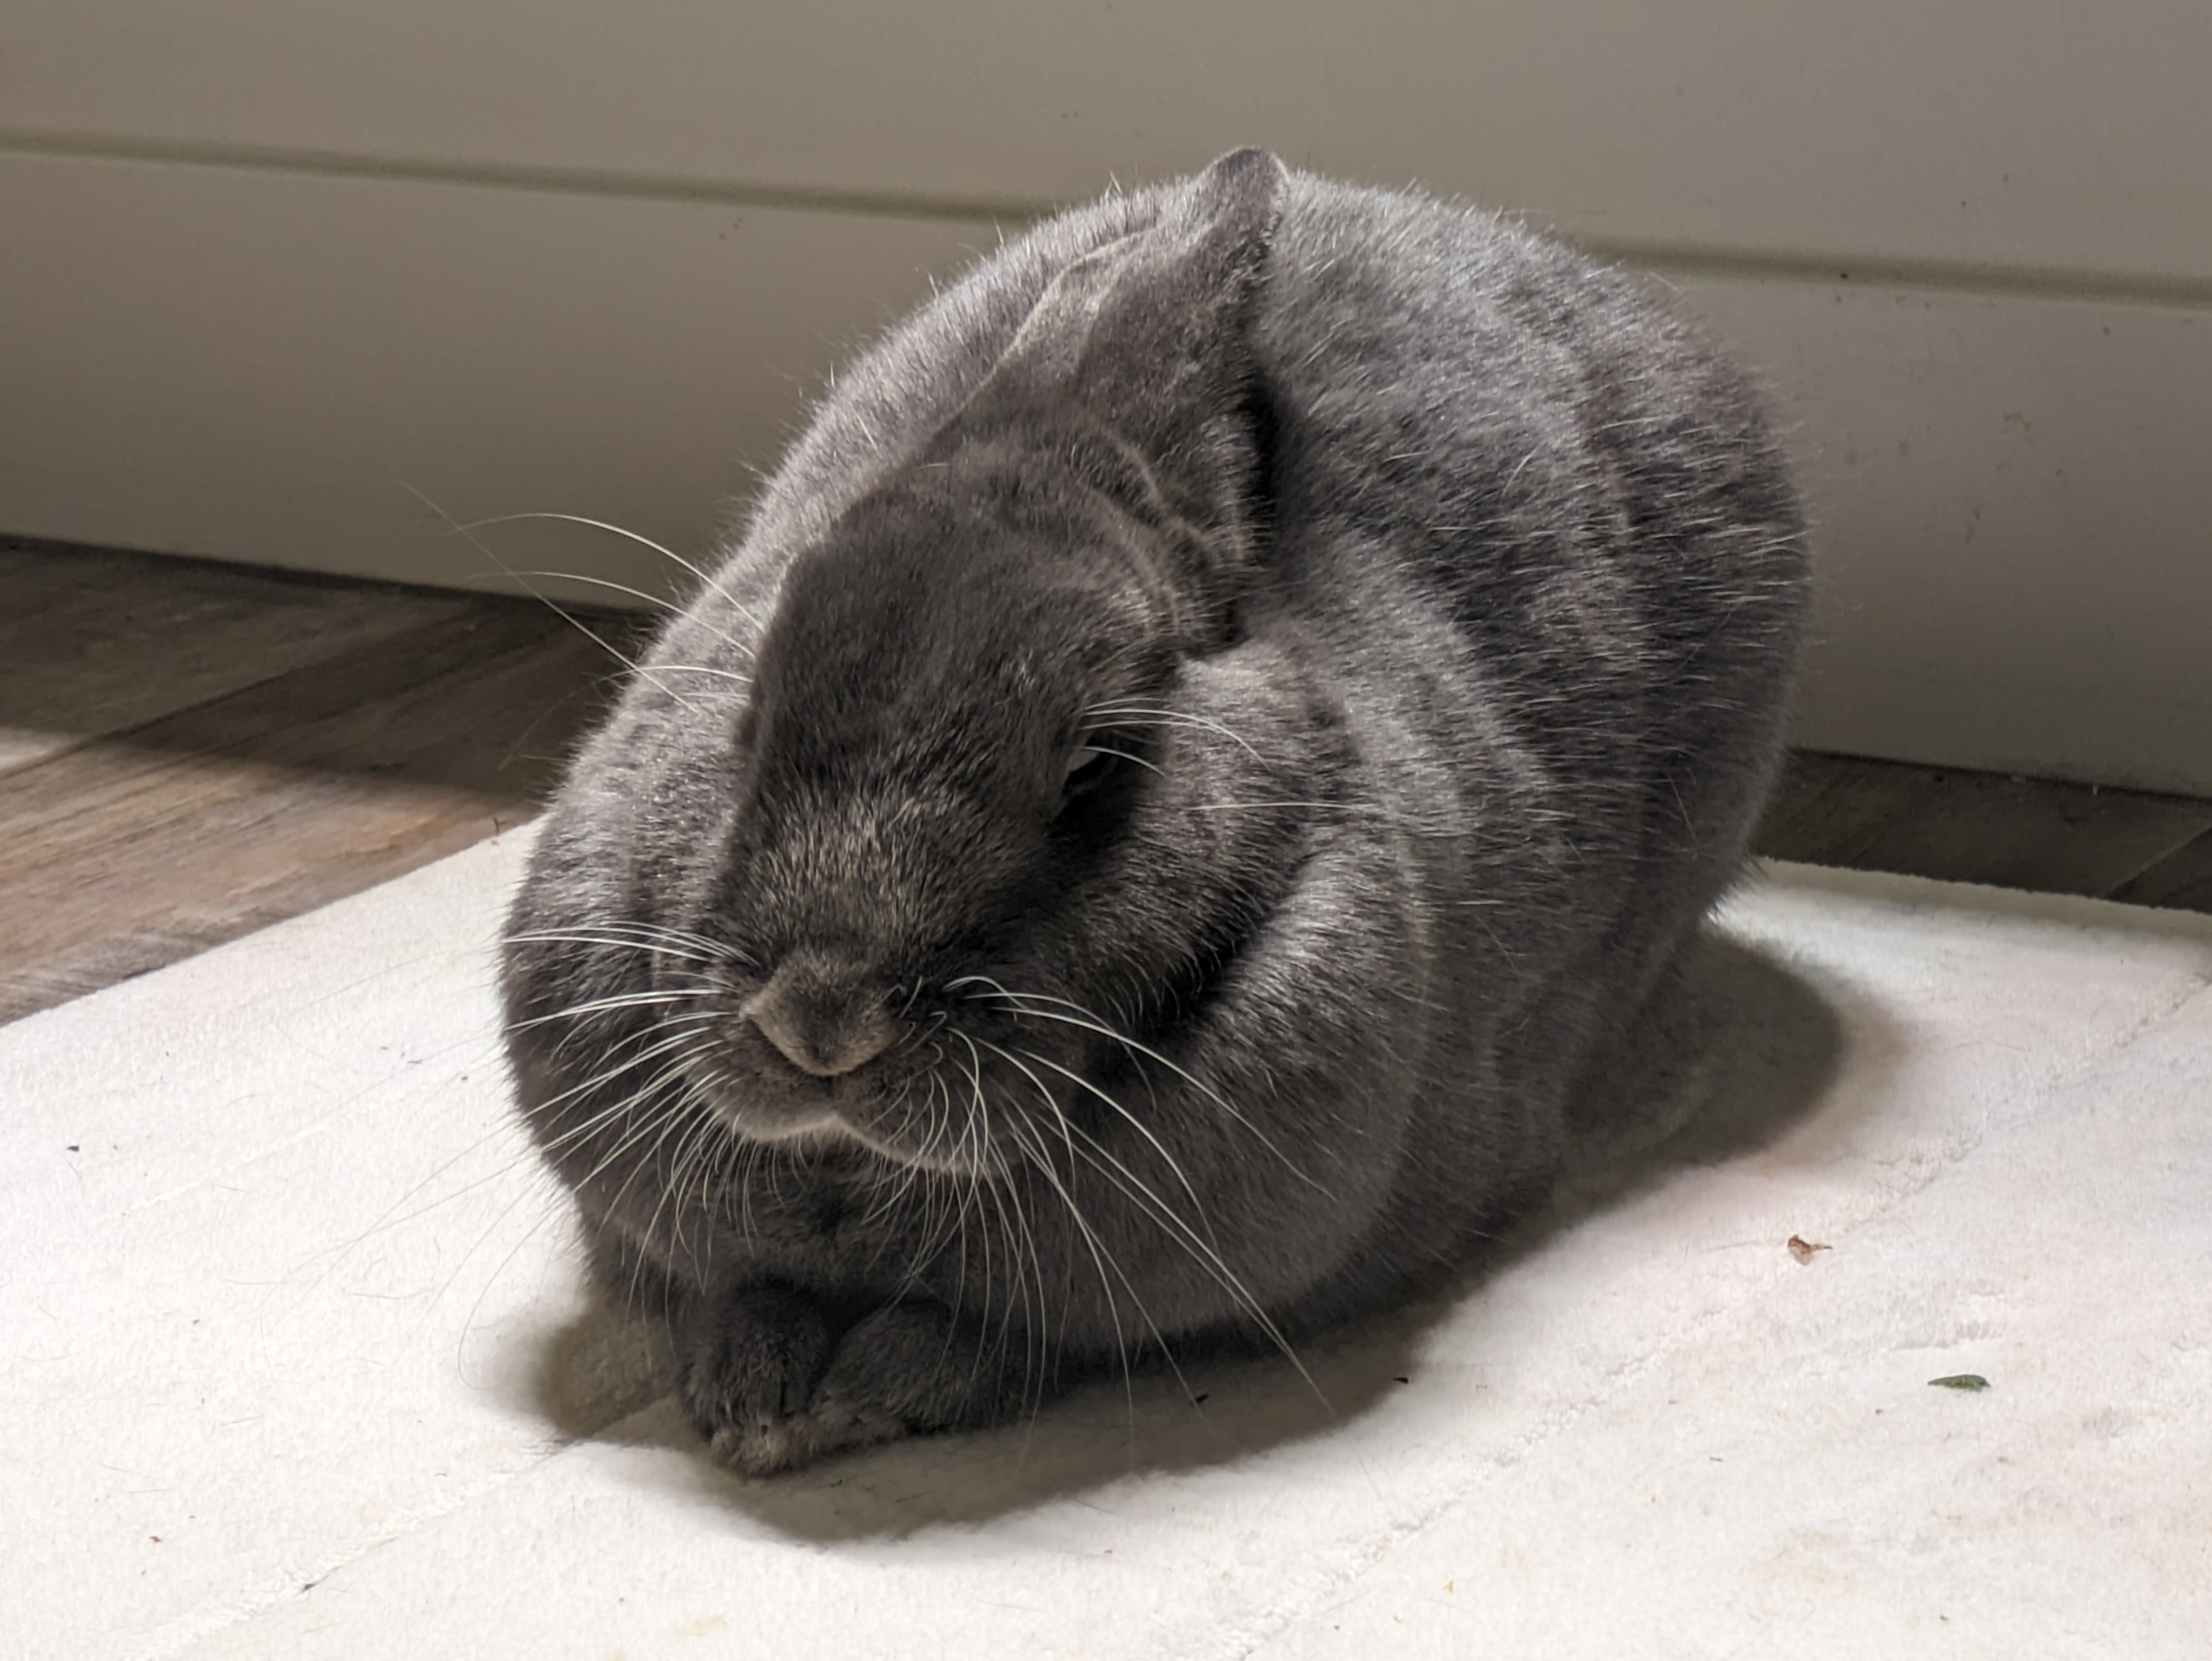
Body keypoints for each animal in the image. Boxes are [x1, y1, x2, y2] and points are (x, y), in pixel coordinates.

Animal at [509, 149, 1805, 1477]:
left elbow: (1000, 1336)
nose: (820, 1023)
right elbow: (733, 1292)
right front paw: (753, 1403)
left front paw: (864, 1397)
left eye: (1094, 767)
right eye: (749, 712)